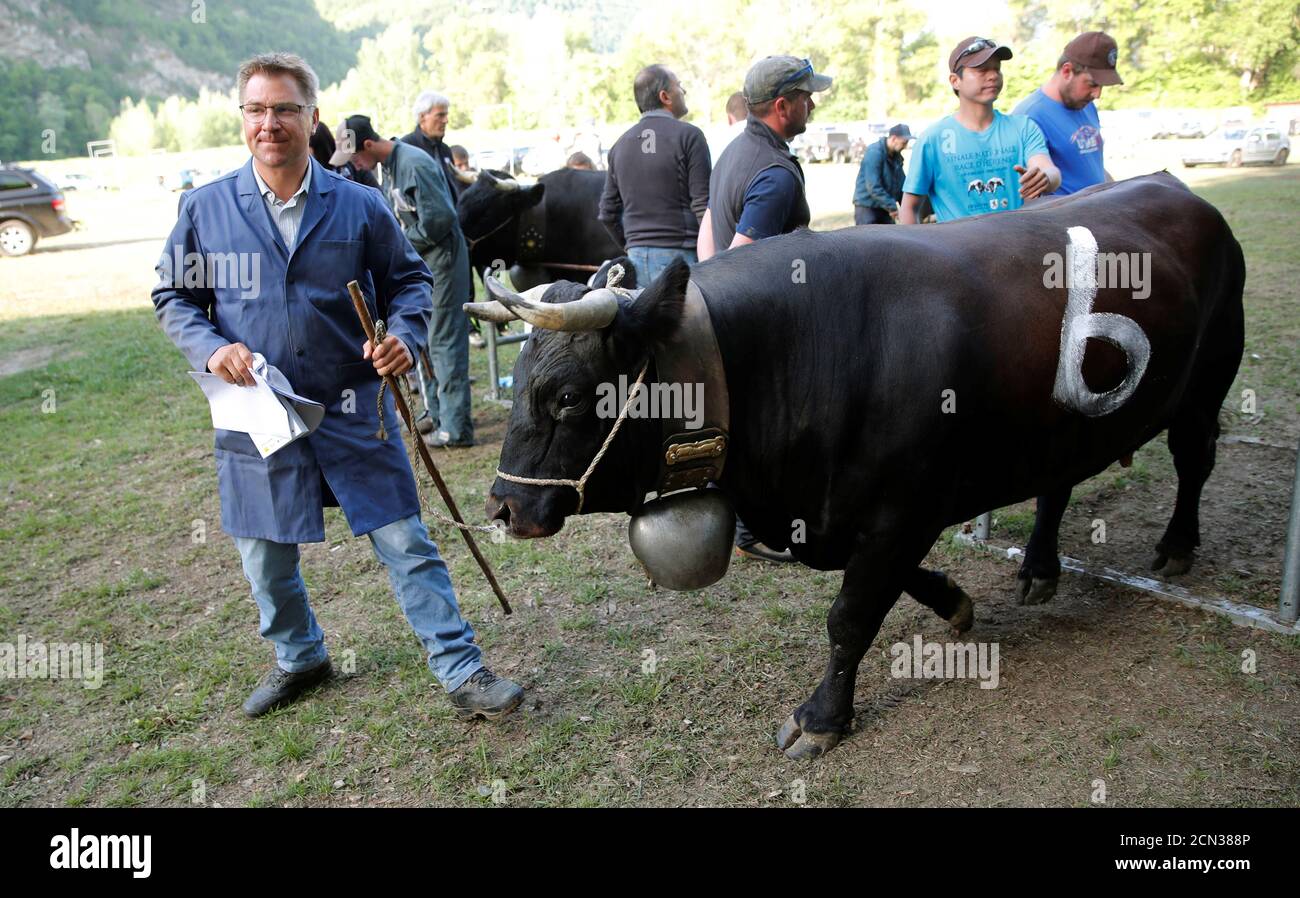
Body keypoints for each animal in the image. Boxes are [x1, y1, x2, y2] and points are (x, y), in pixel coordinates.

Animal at [480, 174, 1248, 758]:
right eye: (518, 386)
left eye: (568, 396)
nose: (504, 508)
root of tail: (1176, 187)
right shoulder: (864, 517)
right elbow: (892, 583)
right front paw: (956, 600)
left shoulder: (901, 508)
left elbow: (850, 616)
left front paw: (821, 718)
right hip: (1061, 427)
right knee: (1057, 486)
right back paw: (1038, 569)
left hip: (1207, 385)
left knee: (1194, 461)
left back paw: (1176, 546)